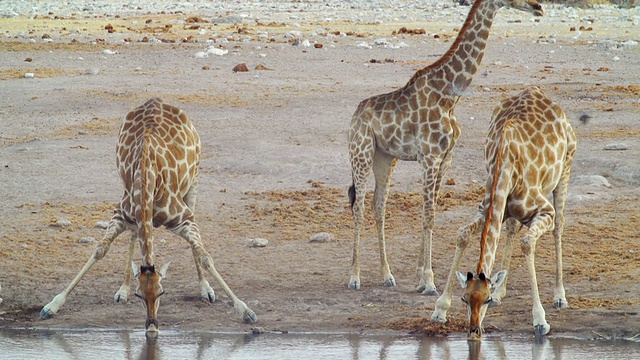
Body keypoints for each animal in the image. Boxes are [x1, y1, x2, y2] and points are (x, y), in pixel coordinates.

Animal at [40, 97, 258, 332]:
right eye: (139, 295)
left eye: (162, 292)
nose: (152, 326)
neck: (148, 177)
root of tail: (156, 100)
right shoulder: (122, 213)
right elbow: (99, 250)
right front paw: (51, 306)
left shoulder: (184, 218)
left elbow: (205, 256)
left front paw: (246, 311)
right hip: (131, 201)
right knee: (134, 234)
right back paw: (122, 290)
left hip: (194, 181)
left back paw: (205, 290)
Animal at [348, 0, 544, 294]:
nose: (538, 7)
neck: (450, 95)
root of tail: (355, 116)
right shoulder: (429, 157)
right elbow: (428, 214)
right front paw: (429, 281)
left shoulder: (445, 158)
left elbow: (432, 213)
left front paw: (421, 278)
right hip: (360, 153)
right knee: (358, 206)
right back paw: (354, 277)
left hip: (385, 158)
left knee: (378, 204)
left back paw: (387, 275)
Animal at [430, 86, 576, 338]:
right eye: (464, 298)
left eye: (485, 300)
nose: (474, 331)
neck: (506, 164)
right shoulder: (487, 208)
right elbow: (463, 234)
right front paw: (440, 310)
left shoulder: (544, 211)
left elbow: (527, 244)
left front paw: (540, 321)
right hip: (511, 211)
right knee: (511, 229)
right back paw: (503, 290)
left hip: (565, 169)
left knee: (559, 227)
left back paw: (560, 296)